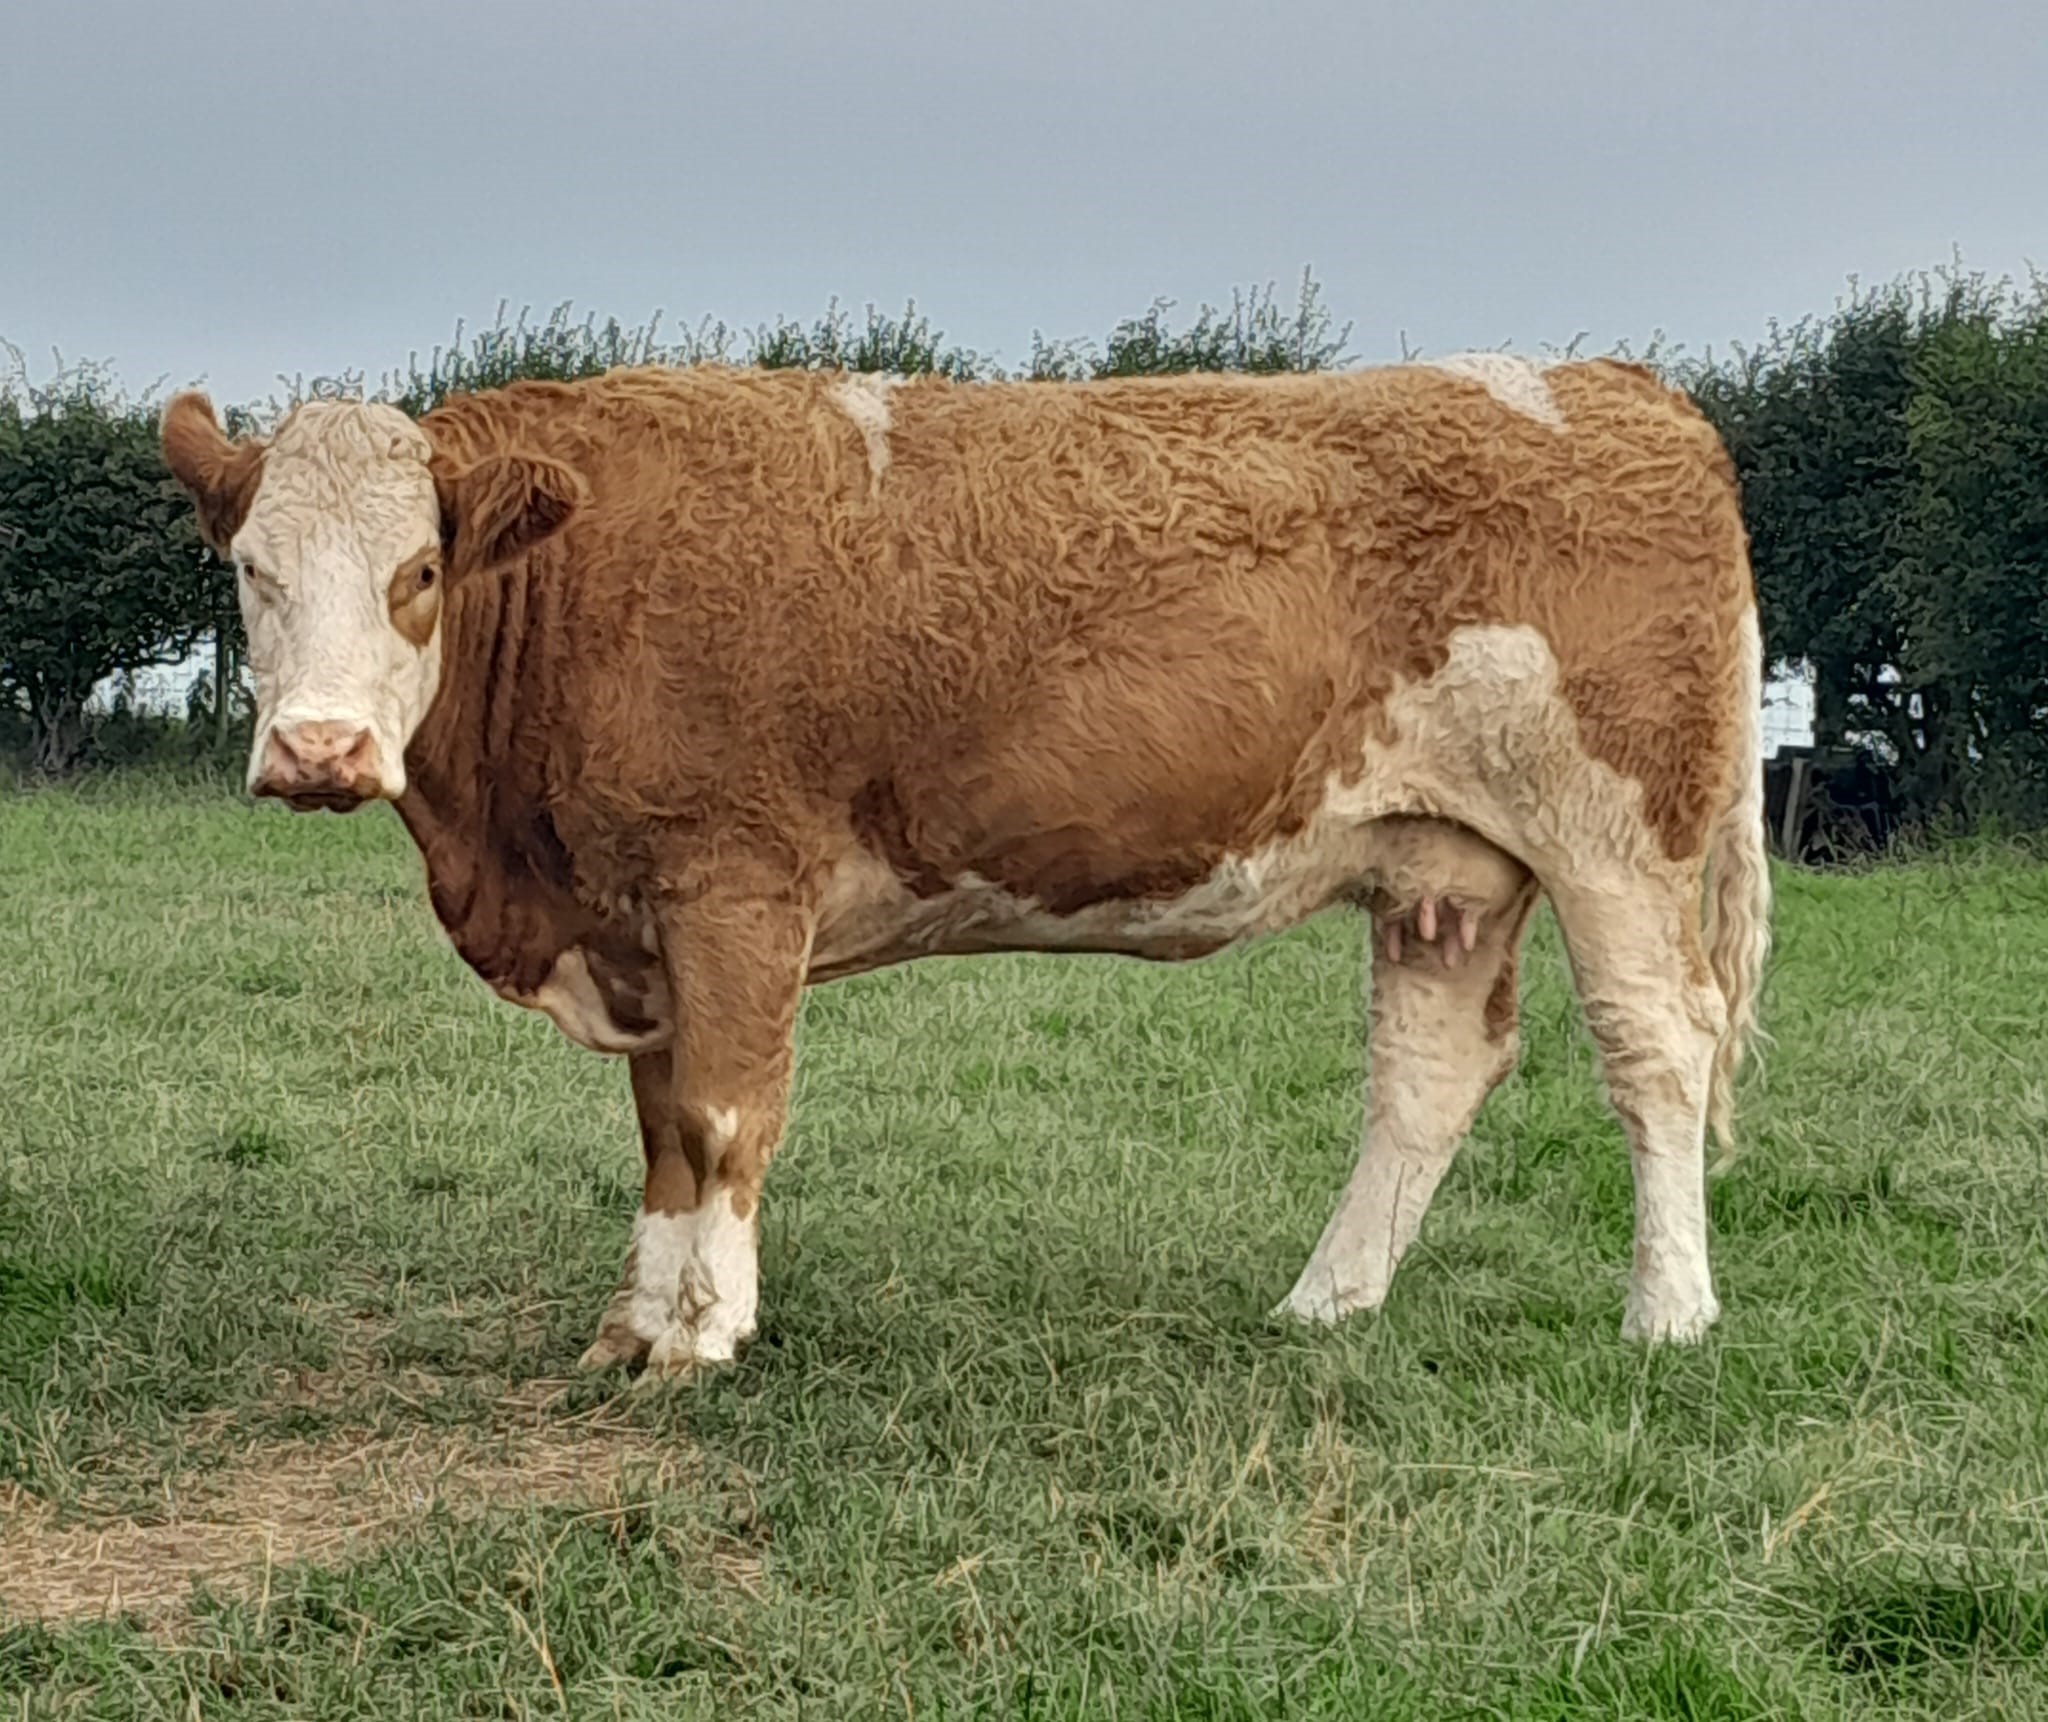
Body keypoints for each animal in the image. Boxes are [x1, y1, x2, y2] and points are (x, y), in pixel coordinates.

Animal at [161, 355, 1769, 1379]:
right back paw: (1325, 1303)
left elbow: (726, 1117)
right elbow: (663, 1130)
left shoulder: (731, 889)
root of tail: (1614, 382)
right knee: (1430, 1076)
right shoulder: (642, 917)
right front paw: (633, 1323)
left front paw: (702, 1336)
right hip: (1446, 869)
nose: (318, 750)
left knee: (1657, 1050)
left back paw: (1670, 1315)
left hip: (1614, 838)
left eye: (419, 574)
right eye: (250, 569)